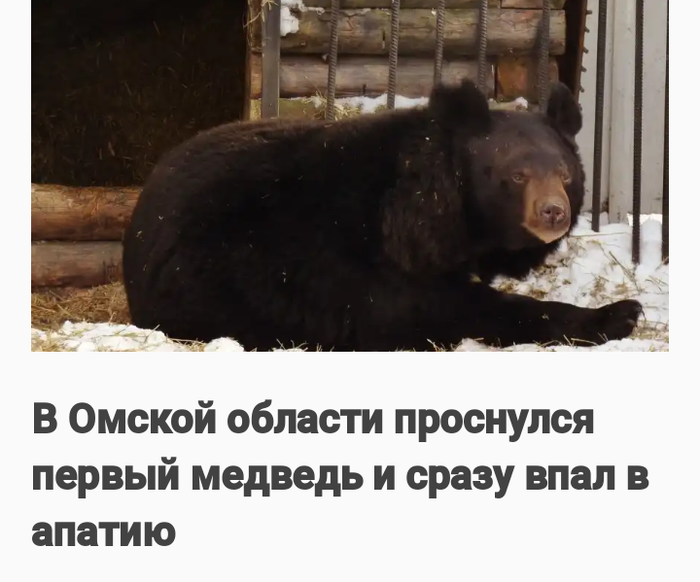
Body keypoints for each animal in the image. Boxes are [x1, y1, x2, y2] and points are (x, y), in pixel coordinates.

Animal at [121, 79, 643, 351]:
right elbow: (448, 308)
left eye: (564, 173)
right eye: (516, 175)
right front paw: (618, 314)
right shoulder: (376, 260)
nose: (553, 213)